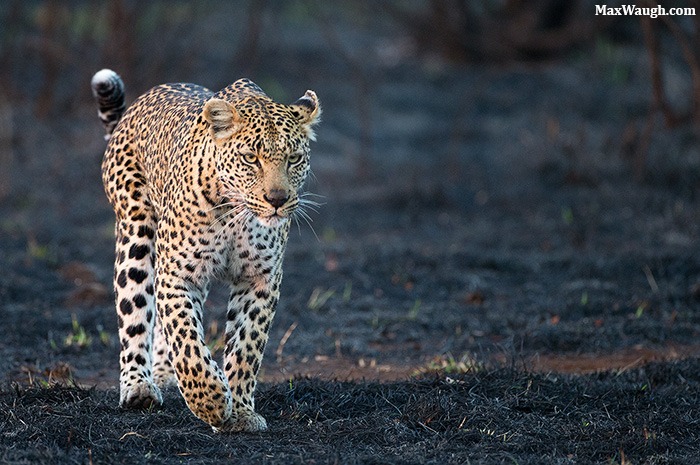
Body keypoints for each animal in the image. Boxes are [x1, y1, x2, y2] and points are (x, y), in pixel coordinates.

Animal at [91, 69, 320, 432]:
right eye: (250, 158)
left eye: (294, 159)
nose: (277, 200)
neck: (237, 216)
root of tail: (137, 107)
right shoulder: (178, 275)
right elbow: (186, 341)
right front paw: (210, 401)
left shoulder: (260, 279)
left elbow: (246, 347)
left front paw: (240, 412)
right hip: (136, 233)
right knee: (135, 311)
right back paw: (139, 386)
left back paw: (164, 374)